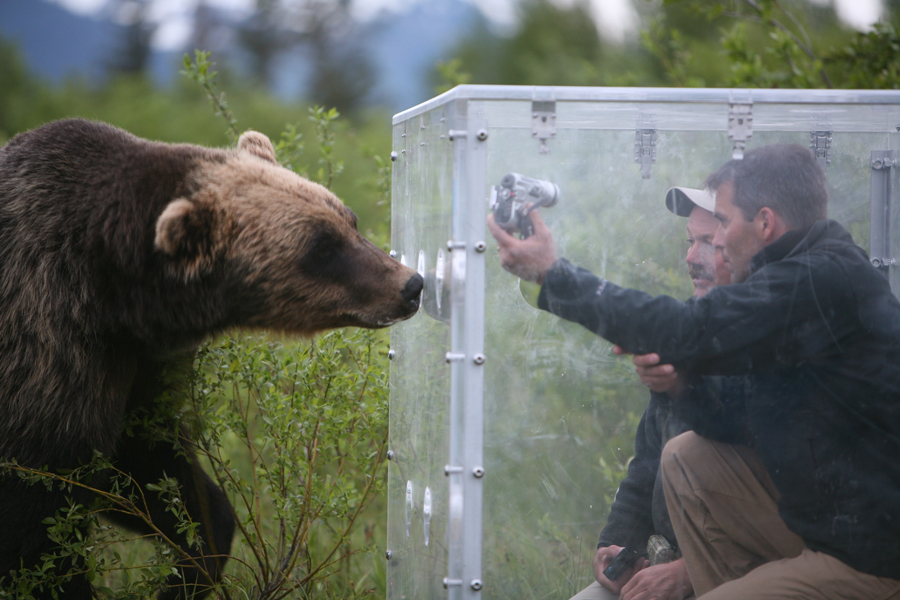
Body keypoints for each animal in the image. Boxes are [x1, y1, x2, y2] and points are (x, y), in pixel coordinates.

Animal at [0, 119, 424, 596]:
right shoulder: (49, 355)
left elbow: (154, 467)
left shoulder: (137, 369)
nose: (411, 285)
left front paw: (189, 565)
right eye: (321, 247)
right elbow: (42, 526)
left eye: (347, 218)